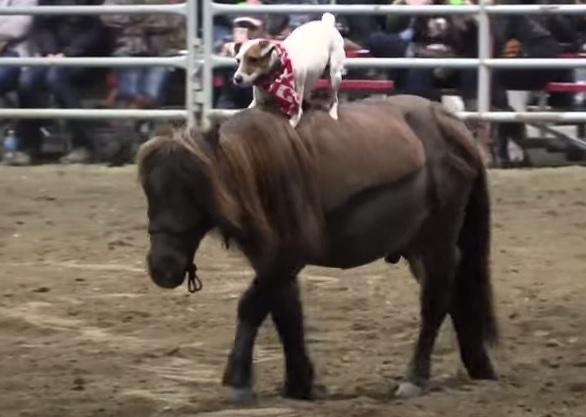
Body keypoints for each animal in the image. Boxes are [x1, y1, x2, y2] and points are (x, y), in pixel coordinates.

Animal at [137, 95, 498, 404]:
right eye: (149, 192)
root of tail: (453, 126)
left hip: (437, 242)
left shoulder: (284, 260)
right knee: (453, 295)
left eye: (192, 189)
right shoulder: (274, 265)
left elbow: (251, 307)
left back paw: (416, 378)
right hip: (416, 247)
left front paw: (239, 380)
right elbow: (286, 315)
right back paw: (479, 366)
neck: (257, 170)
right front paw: (299, 383)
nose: (162, 267)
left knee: (435, 301)